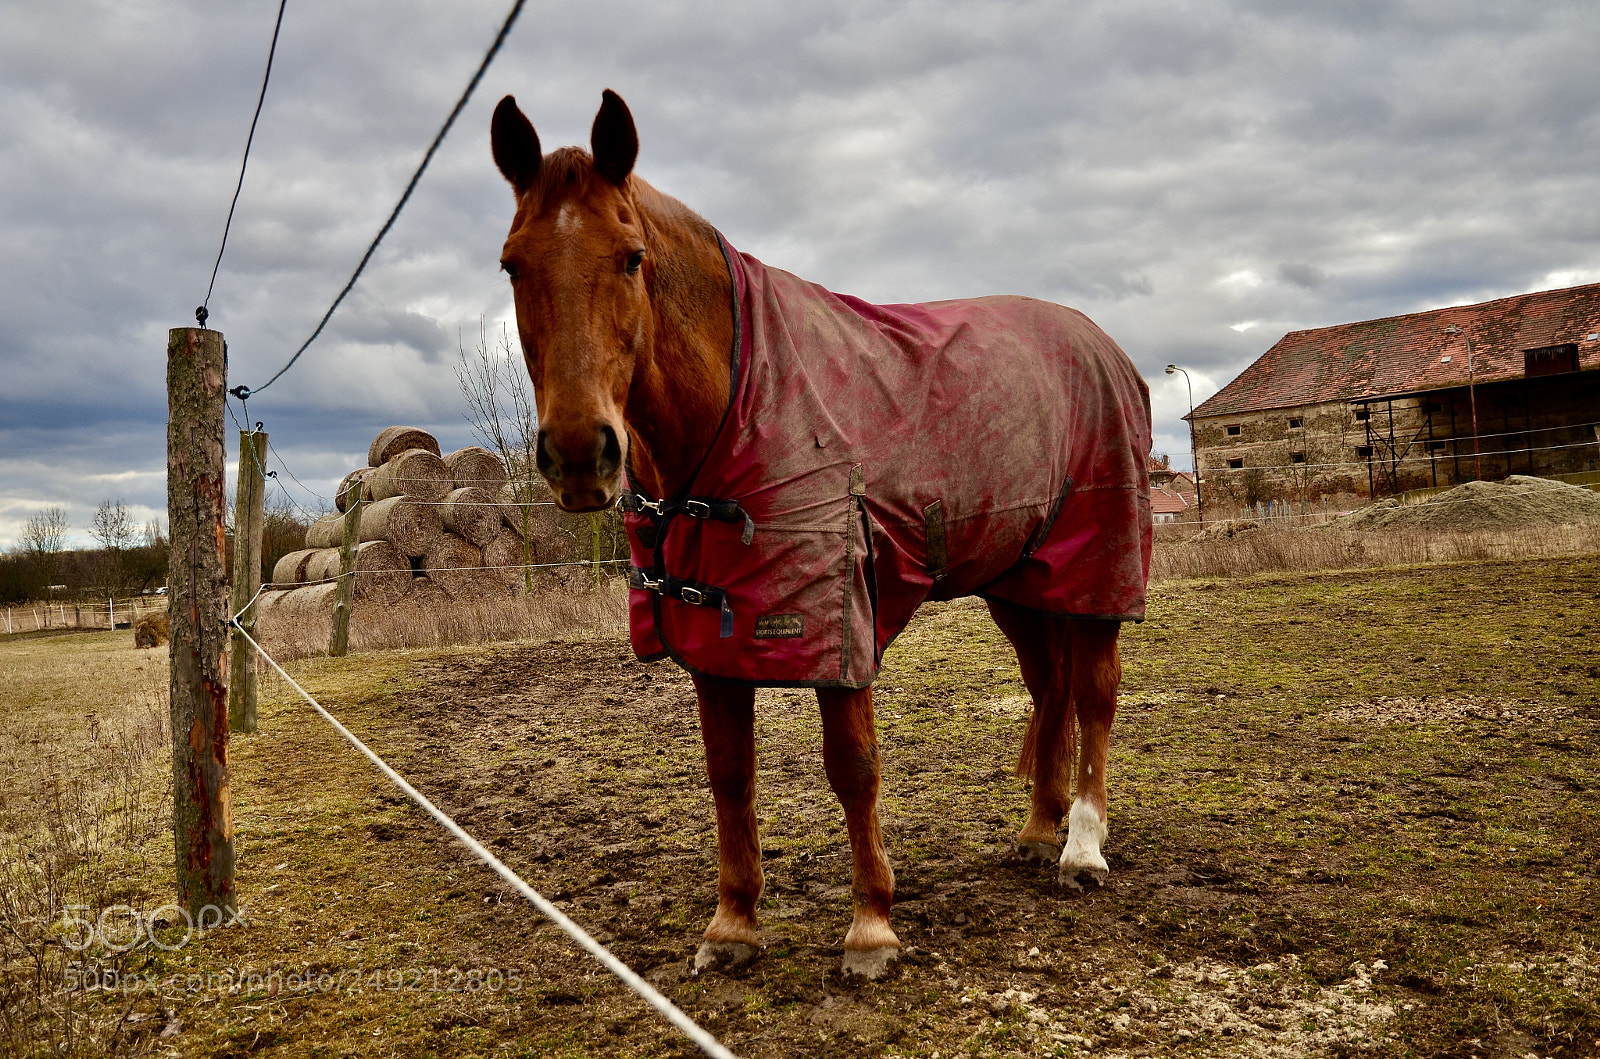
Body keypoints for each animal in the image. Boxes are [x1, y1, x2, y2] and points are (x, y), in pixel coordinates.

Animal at [490, 90, 1153, 980]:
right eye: (512, 264)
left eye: (631, 258)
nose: (575, 453)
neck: (741, 400)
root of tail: (1102, 343)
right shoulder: (715, 641)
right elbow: (729, 774)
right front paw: (733, 923)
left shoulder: (839, 626)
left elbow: (854, 768)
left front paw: (871, 925)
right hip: (1016, 580)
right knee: (1048, 687)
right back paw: (1038, 829)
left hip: (1097, 572)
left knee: (1093, 693)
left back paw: (1082, 845)